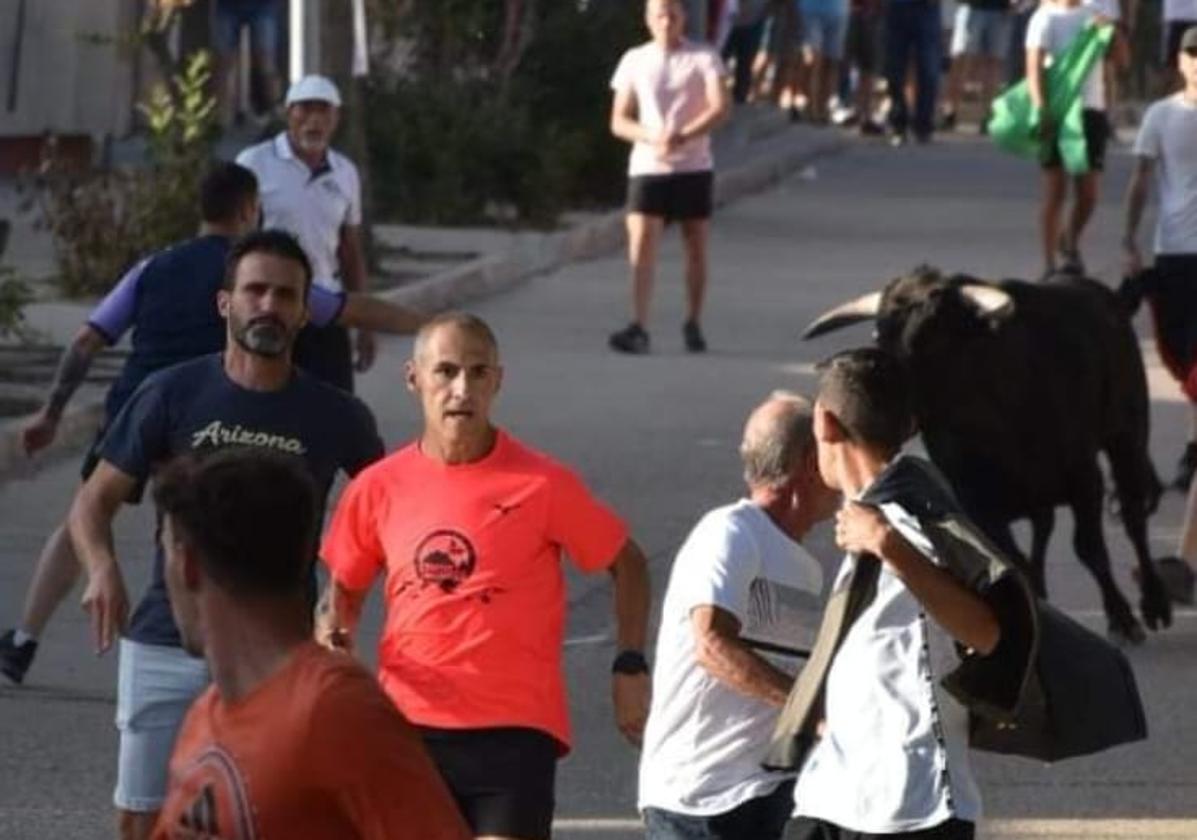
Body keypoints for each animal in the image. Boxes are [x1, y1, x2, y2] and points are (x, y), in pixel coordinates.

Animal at [809, 270, 1173, 646]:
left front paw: (1122, 617)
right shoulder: (978, 503)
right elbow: (1015, 559)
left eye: (933, 334)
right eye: (879, 332)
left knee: (1133, 517)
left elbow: (1090, 549)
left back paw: (1154, 604)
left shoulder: (1084, 477)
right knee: (1044, 528)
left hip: (1128, 434)